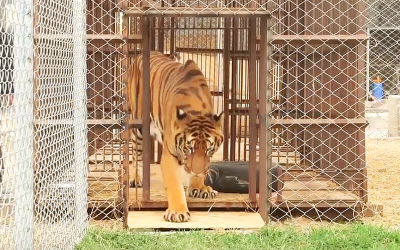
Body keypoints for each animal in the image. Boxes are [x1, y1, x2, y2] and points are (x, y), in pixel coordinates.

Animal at [126, 50, 223, 223]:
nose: (196, 172)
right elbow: (174, 184)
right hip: (138, 126)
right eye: (189, 148)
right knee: (137, 154)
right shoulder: (169, 154)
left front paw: (200, 187)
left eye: (208, 149)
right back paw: (135, 179)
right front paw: (178, 212)